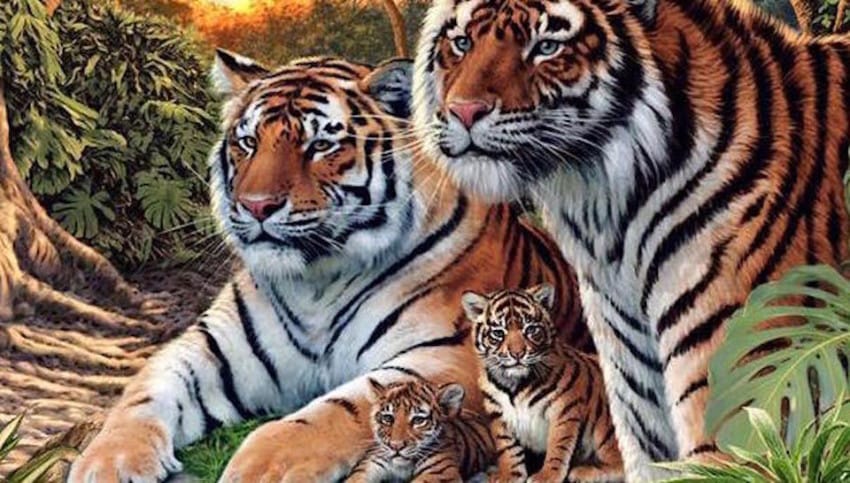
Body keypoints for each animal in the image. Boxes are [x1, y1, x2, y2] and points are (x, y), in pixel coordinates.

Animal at [463, 285, 623, 483]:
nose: (517, 354)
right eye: (498, 333)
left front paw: (547, 476)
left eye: (531, 329)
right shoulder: (498, 414)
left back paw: (583, 472)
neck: (513, 385)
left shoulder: (564, 409)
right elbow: (507, 448)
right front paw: (509, 475)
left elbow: (558, 445)